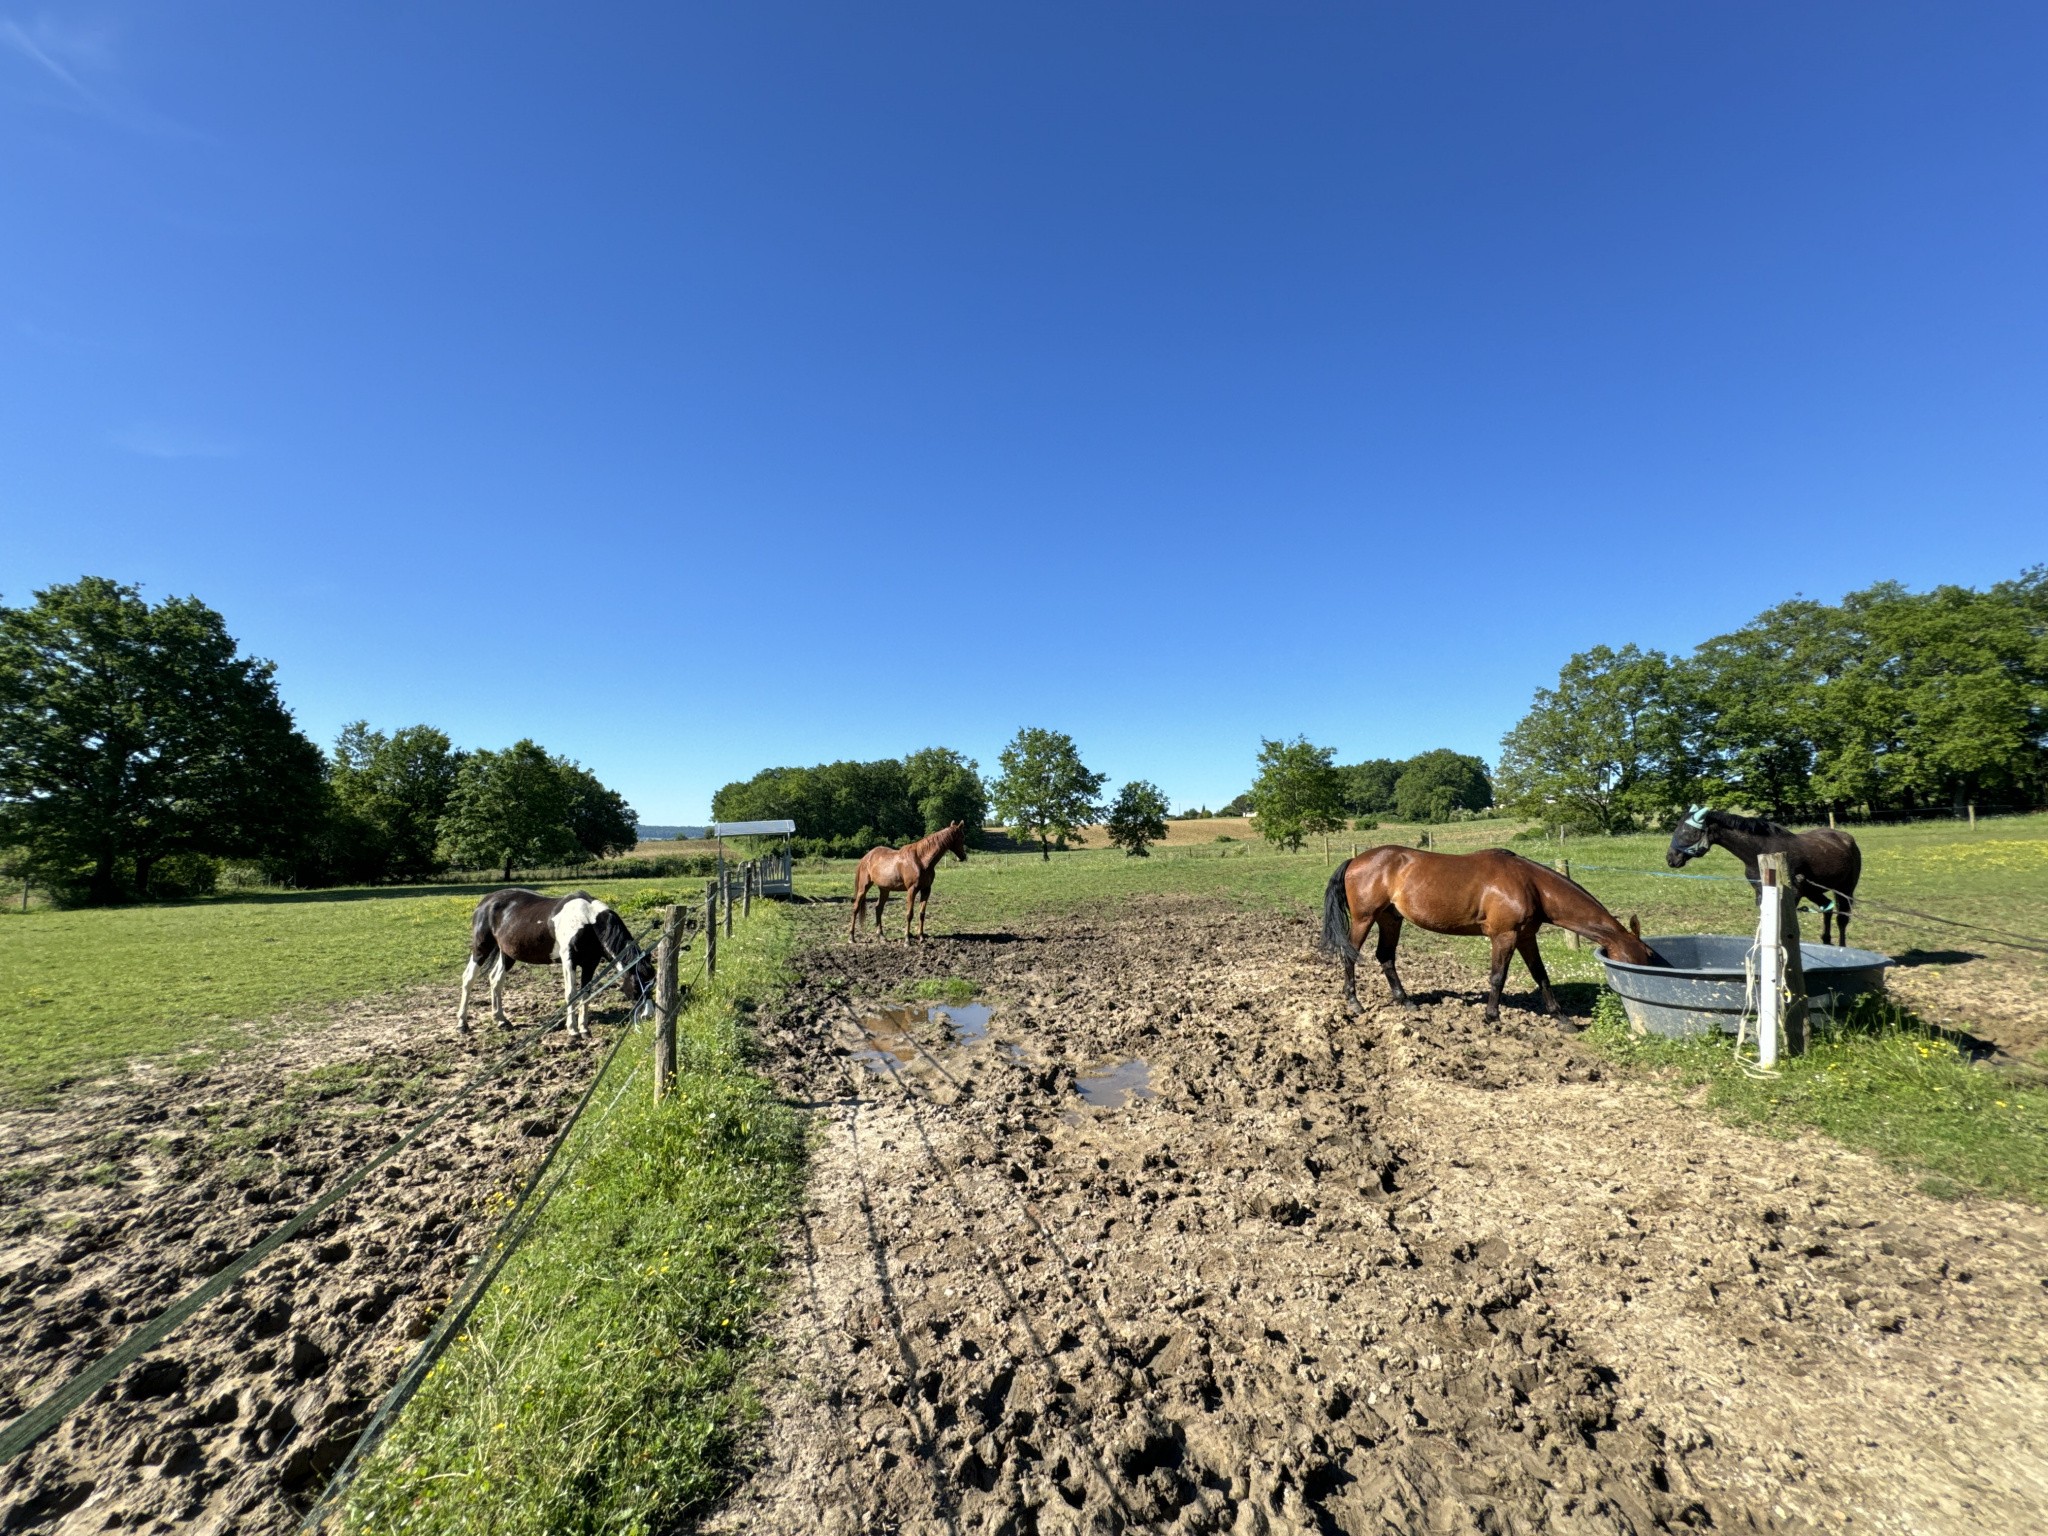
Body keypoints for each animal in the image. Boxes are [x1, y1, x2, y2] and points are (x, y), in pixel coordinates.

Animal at [458, 897, 651, 1040]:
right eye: (637, 985)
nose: (648, 1015)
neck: (587, 921)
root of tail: (486, 901)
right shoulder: (568, 961)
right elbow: (571, 994)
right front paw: (573, 1031)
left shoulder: (590, 964)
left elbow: (586, 994)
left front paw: (584, 1029)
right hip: (481, 948)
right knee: (468, 978)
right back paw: (462, 1024)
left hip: (507, 953)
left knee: (495, 979)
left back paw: (501, 1021)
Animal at [1318, 856, 1654, 1024]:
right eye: (1648, 955)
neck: (1530, 884)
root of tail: (1356, 860)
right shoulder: (1504, 936)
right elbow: (1498, 977)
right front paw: (1492, 1017)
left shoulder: (1526, 937)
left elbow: (1541, 976)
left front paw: (1561, 1018)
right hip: (1364, 918)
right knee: (1350, 955)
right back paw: (1355, 1004)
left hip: (1390, 919)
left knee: (1386, 956)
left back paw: (1406, 1002)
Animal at [1671, 806, 1867, 950]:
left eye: (1687, 831)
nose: (1671, 858)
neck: (1760, 851)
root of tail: (1846, 838)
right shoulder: (1761, 892)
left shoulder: (1792, 894)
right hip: (1813, 890)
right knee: (1827, 908)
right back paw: (1826, 941)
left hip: (1845, 889)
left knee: (1842, 919)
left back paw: (1842, 947)